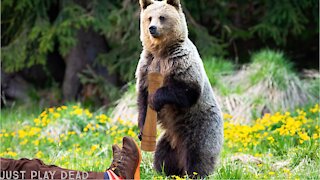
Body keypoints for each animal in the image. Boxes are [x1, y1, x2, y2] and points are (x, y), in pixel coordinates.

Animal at [136, 0, 224, 177]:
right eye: (149, 18)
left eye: (162, 17)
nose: (152, 28)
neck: (161, 51)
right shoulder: (146, 66)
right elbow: (142, 100)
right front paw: (141, 131)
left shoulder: (181, 62)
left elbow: (187, 91)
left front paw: (155, 99)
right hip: (169, 137)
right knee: (163, 155)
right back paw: (167, 171)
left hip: (201, 127)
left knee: (200, 153)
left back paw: (195, 173)